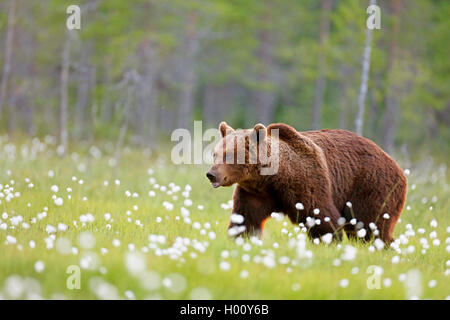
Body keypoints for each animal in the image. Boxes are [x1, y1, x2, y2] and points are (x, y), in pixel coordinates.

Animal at [207, 122, 408, 242]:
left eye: (229, 155)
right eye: (215, 154)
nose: (211, 174)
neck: (272, 178)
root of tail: (398, 167)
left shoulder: (306, 182)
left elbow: (320, 215)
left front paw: (329, 240)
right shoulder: (255, 193)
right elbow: (246, 218)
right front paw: (240, 237)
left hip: (372, 186)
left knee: (370, 224)